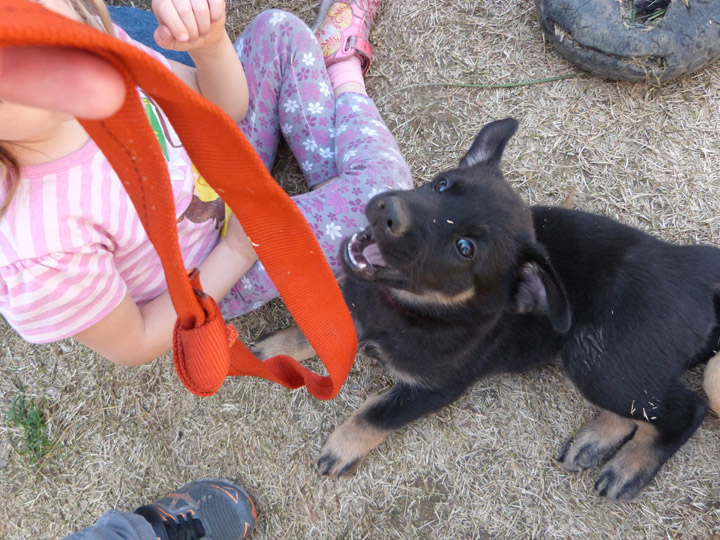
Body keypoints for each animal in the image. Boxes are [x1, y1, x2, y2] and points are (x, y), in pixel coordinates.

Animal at [255, 119, 720, 502]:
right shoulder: (357, 305)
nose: (388, 209)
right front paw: (272, 353)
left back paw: (629, 468)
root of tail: (691, 265)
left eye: (465, 248)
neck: (411, 311)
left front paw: (342, 446)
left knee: (684, 409)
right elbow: (312, 329)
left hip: (596, 355)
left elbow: (376, 414)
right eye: (442, 185)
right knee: (641, 405)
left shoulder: (433, 389)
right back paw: (594, 441)